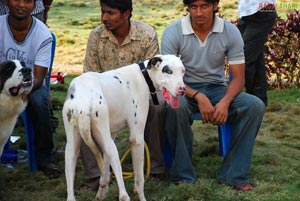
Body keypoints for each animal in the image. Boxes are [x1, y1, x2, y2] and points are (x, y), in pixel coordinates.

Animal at [62, 54, 185, 201]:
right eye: (168, 71)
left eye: (183, 71)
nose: (182, 90)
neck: (144, 75)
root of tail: (83, 101)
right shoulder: (137, 140)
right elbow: (139, 178)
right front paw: (140, 195)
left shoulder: (111, 135)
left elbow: (105, 169)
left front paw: (102, 192)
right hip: (111, 146)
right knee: (122, 188)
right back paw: (124, 195)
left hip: (73, 147)